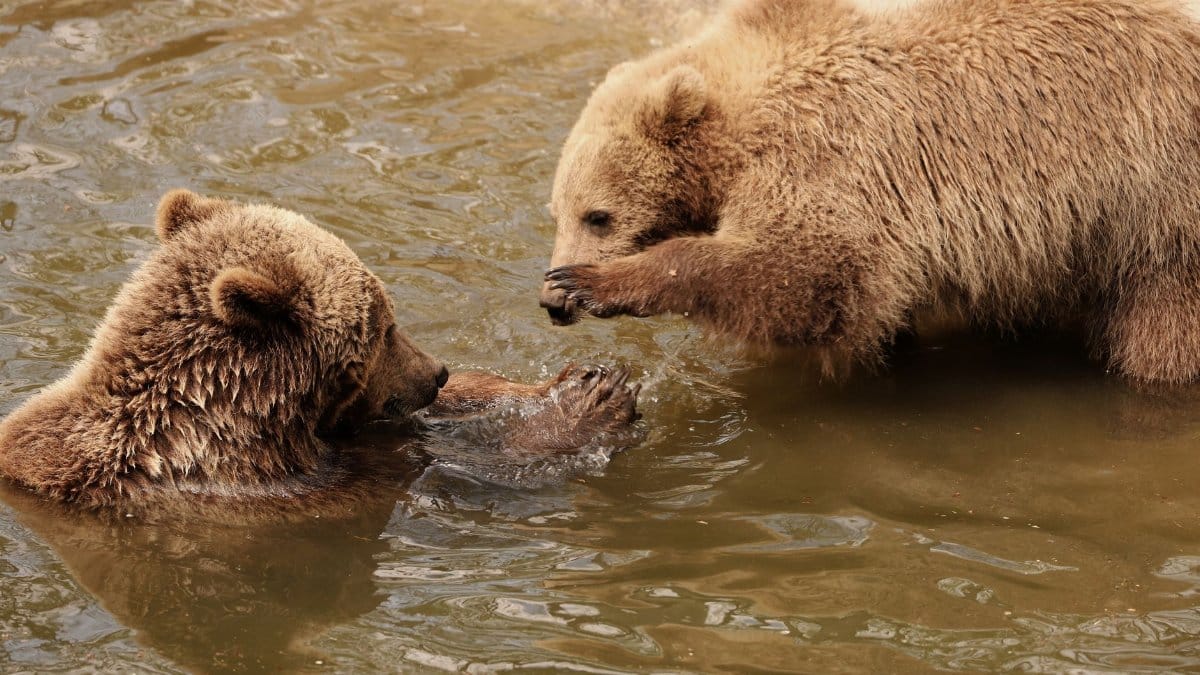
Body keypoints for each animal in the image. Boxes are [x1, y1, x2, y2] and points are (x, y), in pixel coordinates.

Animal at [0, 189, 640, 513]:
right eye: (385, 327)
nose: (435, 371)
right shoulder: (284, 492)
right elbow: (443, 472)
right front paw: (593, 403)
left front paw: (568, 381)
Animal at [539, 0, 1200, 383]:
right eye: (556, 213)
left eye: (597, 215)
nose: (551, 301)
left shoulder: (830, 152)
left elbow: (804, 272)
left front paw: (600, 281)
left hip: (1157, 200)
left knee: (1162, 332)